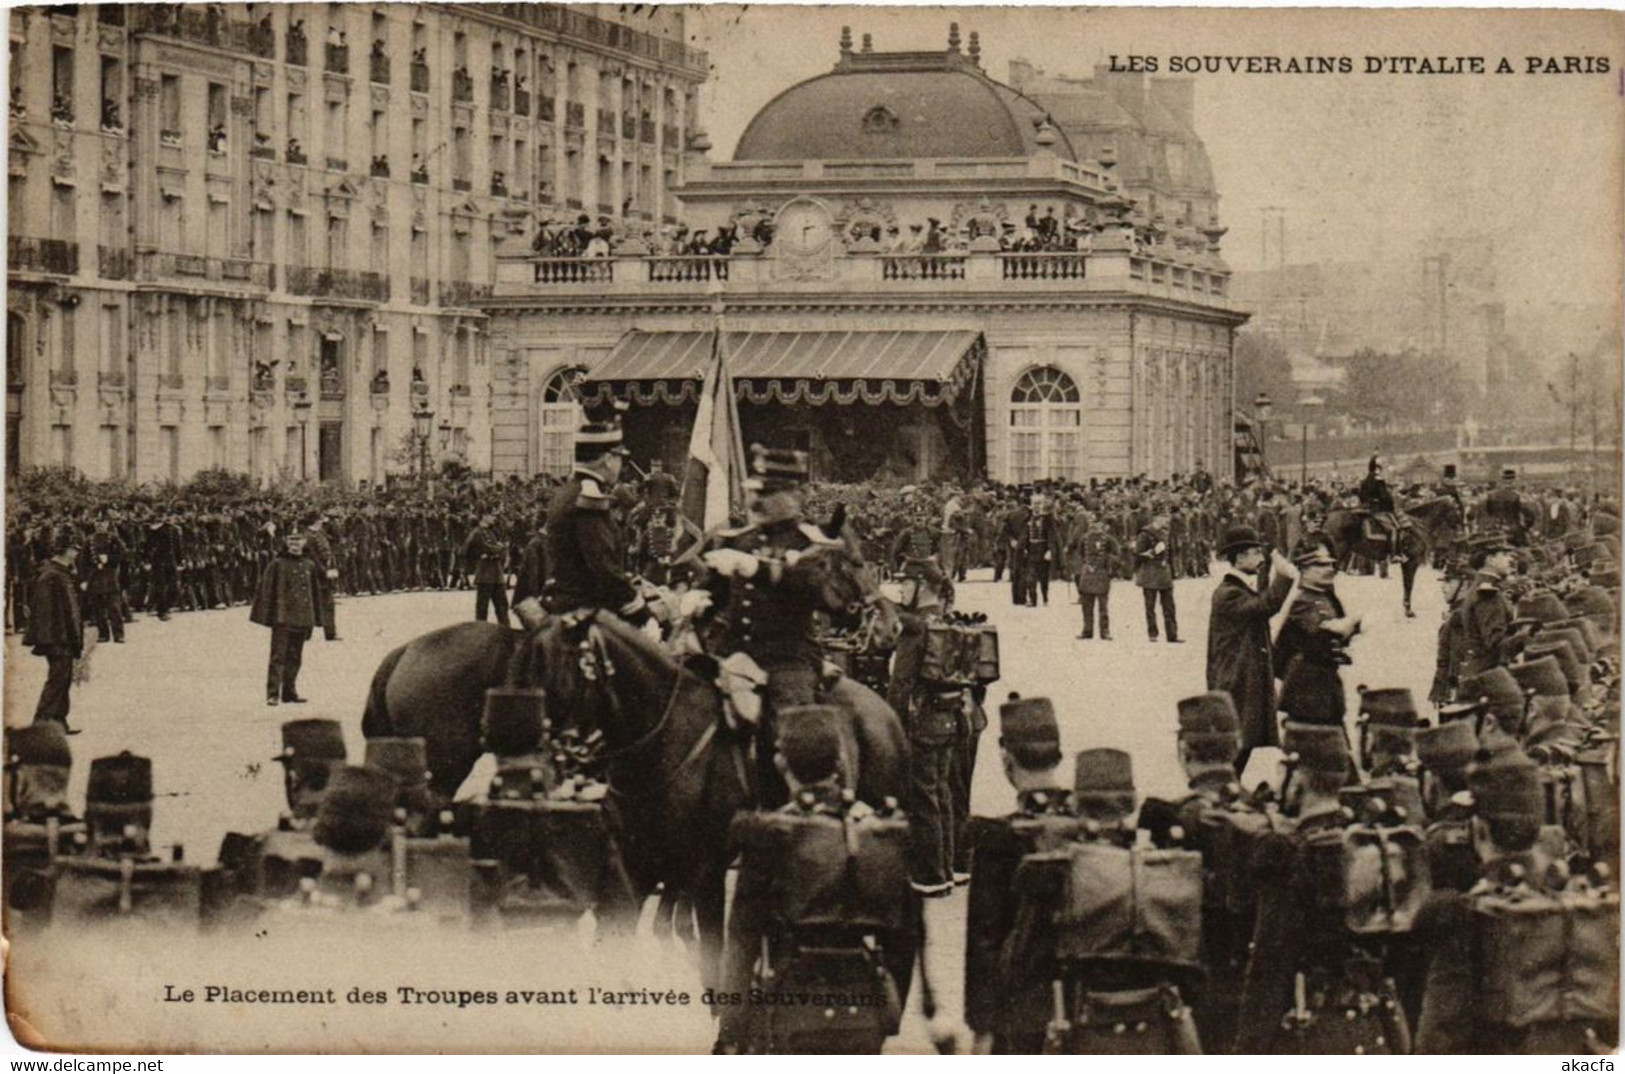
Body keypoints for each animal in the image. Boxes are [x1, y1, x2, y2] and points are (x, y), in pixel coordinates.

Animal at [1326, 490, 1469, 610]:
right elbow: (1409, 584)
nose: (1463, 530)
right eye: (1457, 508)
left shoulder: (1407, 562)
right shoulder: (1412, 561)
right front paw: (1408, 609)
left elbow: (1406, 584)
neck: (1417, 524)